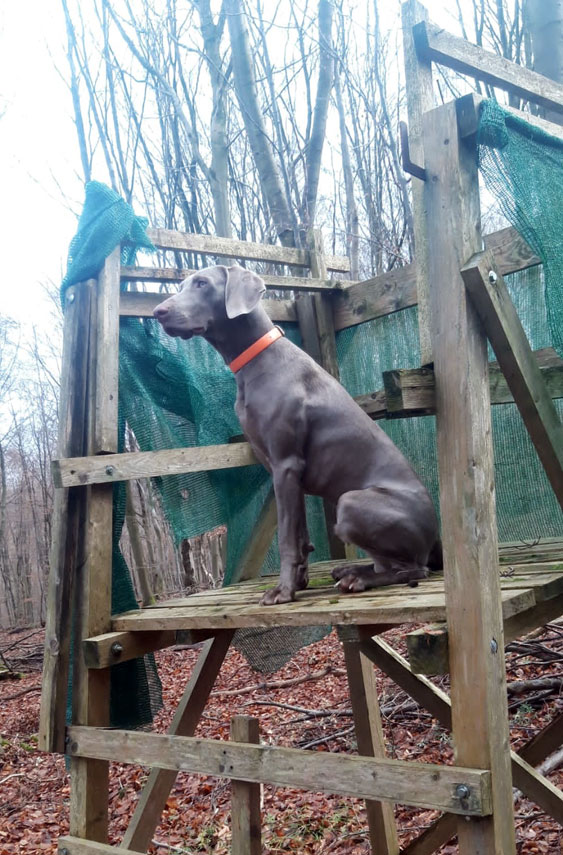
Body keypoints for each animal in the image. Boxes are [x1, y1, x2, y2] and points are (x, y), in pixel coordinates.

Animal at [153, 264, 440, 604]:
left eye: (202, 283)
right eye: (183, 284)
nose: (158, 312)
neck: (257, 358)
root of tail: (436, 536)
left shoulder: (285, 463)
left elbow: (287, 537)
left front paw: (283, 590)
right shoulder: (283, 471)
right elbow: (301, 533)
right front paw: (299, 581)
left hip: (350, 503)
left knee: (414, 570)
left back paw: (359, 578)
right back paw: (350, 570)